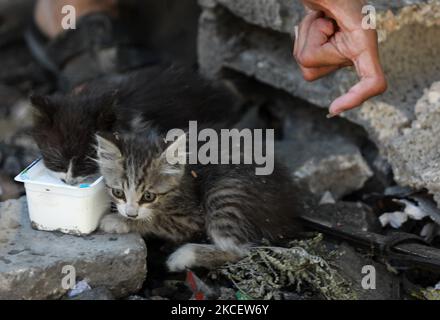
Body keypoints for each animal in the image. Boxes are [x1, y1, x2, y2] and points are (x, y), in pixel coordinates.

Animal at [96, 126, 300, 272]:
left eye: (148, 196)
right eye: (118, 193)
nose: (130, 214)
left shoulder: (191, 219)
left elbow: (155, 220)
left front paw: (117, 221)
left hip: (224, 193)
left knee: (239, 250)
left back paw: (184, 255)